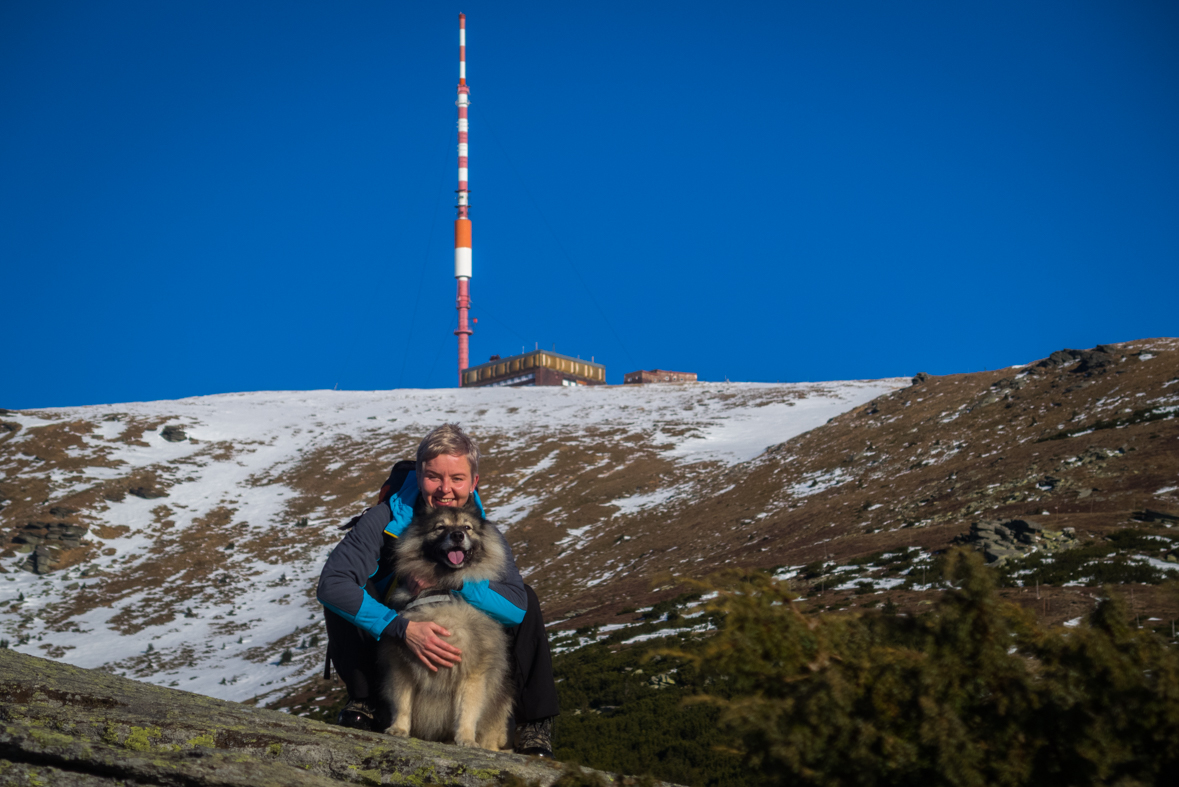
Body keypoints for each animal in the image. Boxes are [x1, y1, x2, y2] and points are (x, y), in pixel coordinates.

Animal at [374, 504, 509, 749]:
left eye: (467, 527)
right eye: (440, 527)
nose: (457, 535)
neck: (443, 589)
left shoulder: (472, 671)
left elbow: (467, 710)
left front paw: (466, 739)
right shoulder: (401, 665)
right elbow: (402, 702)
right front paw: (398, 729)